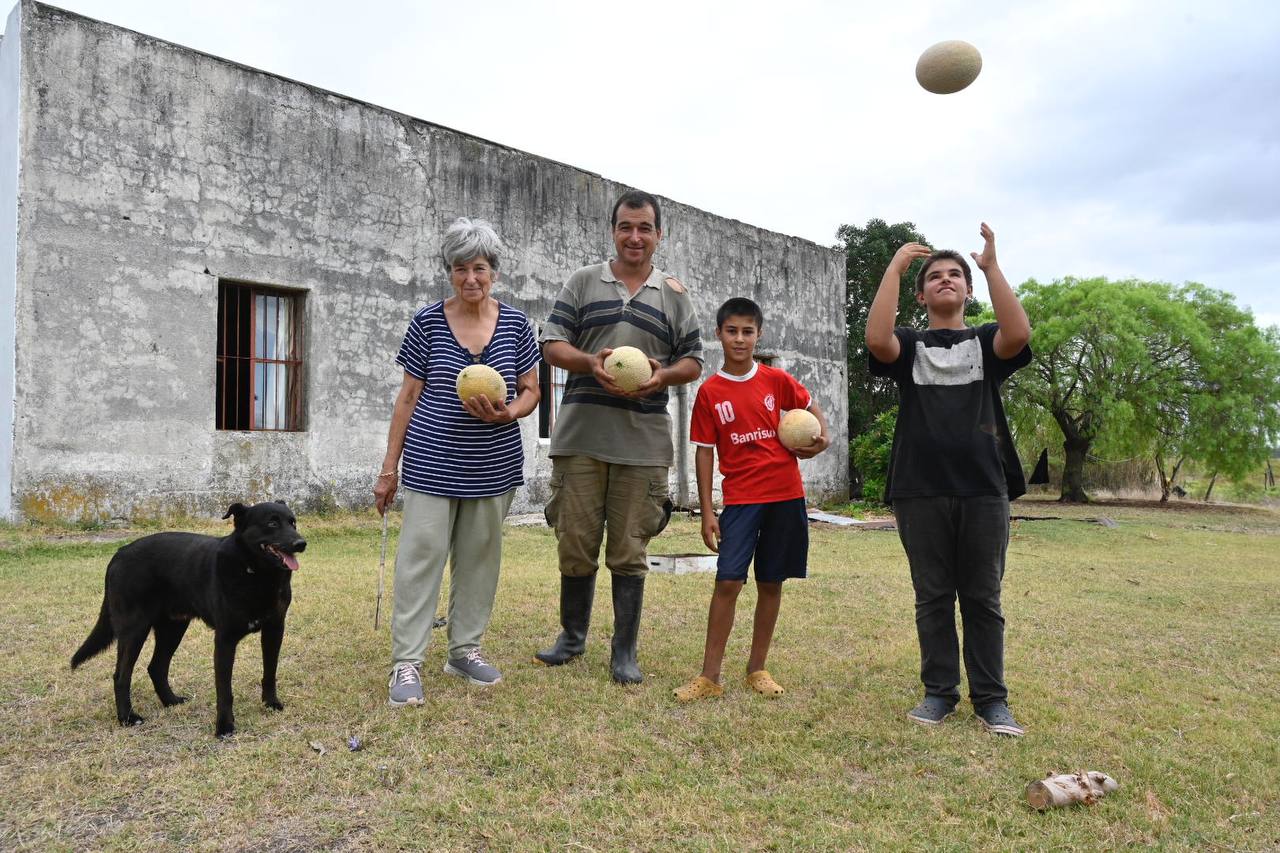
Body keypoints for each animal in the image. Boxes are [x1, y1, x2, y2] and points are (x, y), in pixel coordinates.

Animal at [72, 502, 304, 732]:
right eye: (272, 523)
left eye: (293, 522)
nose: (301, 543)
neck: (255, 573)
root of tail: (119, 553)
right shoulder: (225, 639)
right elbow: (224, 690)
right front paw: (224, 726)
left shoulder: (274, 630)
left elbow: (270, 672)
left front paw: (271, 703)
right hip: (134, 630)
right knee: (121, 676)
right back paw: (128, 717)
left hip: (173, 628)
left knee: (156, 667)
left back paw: (171, 701)